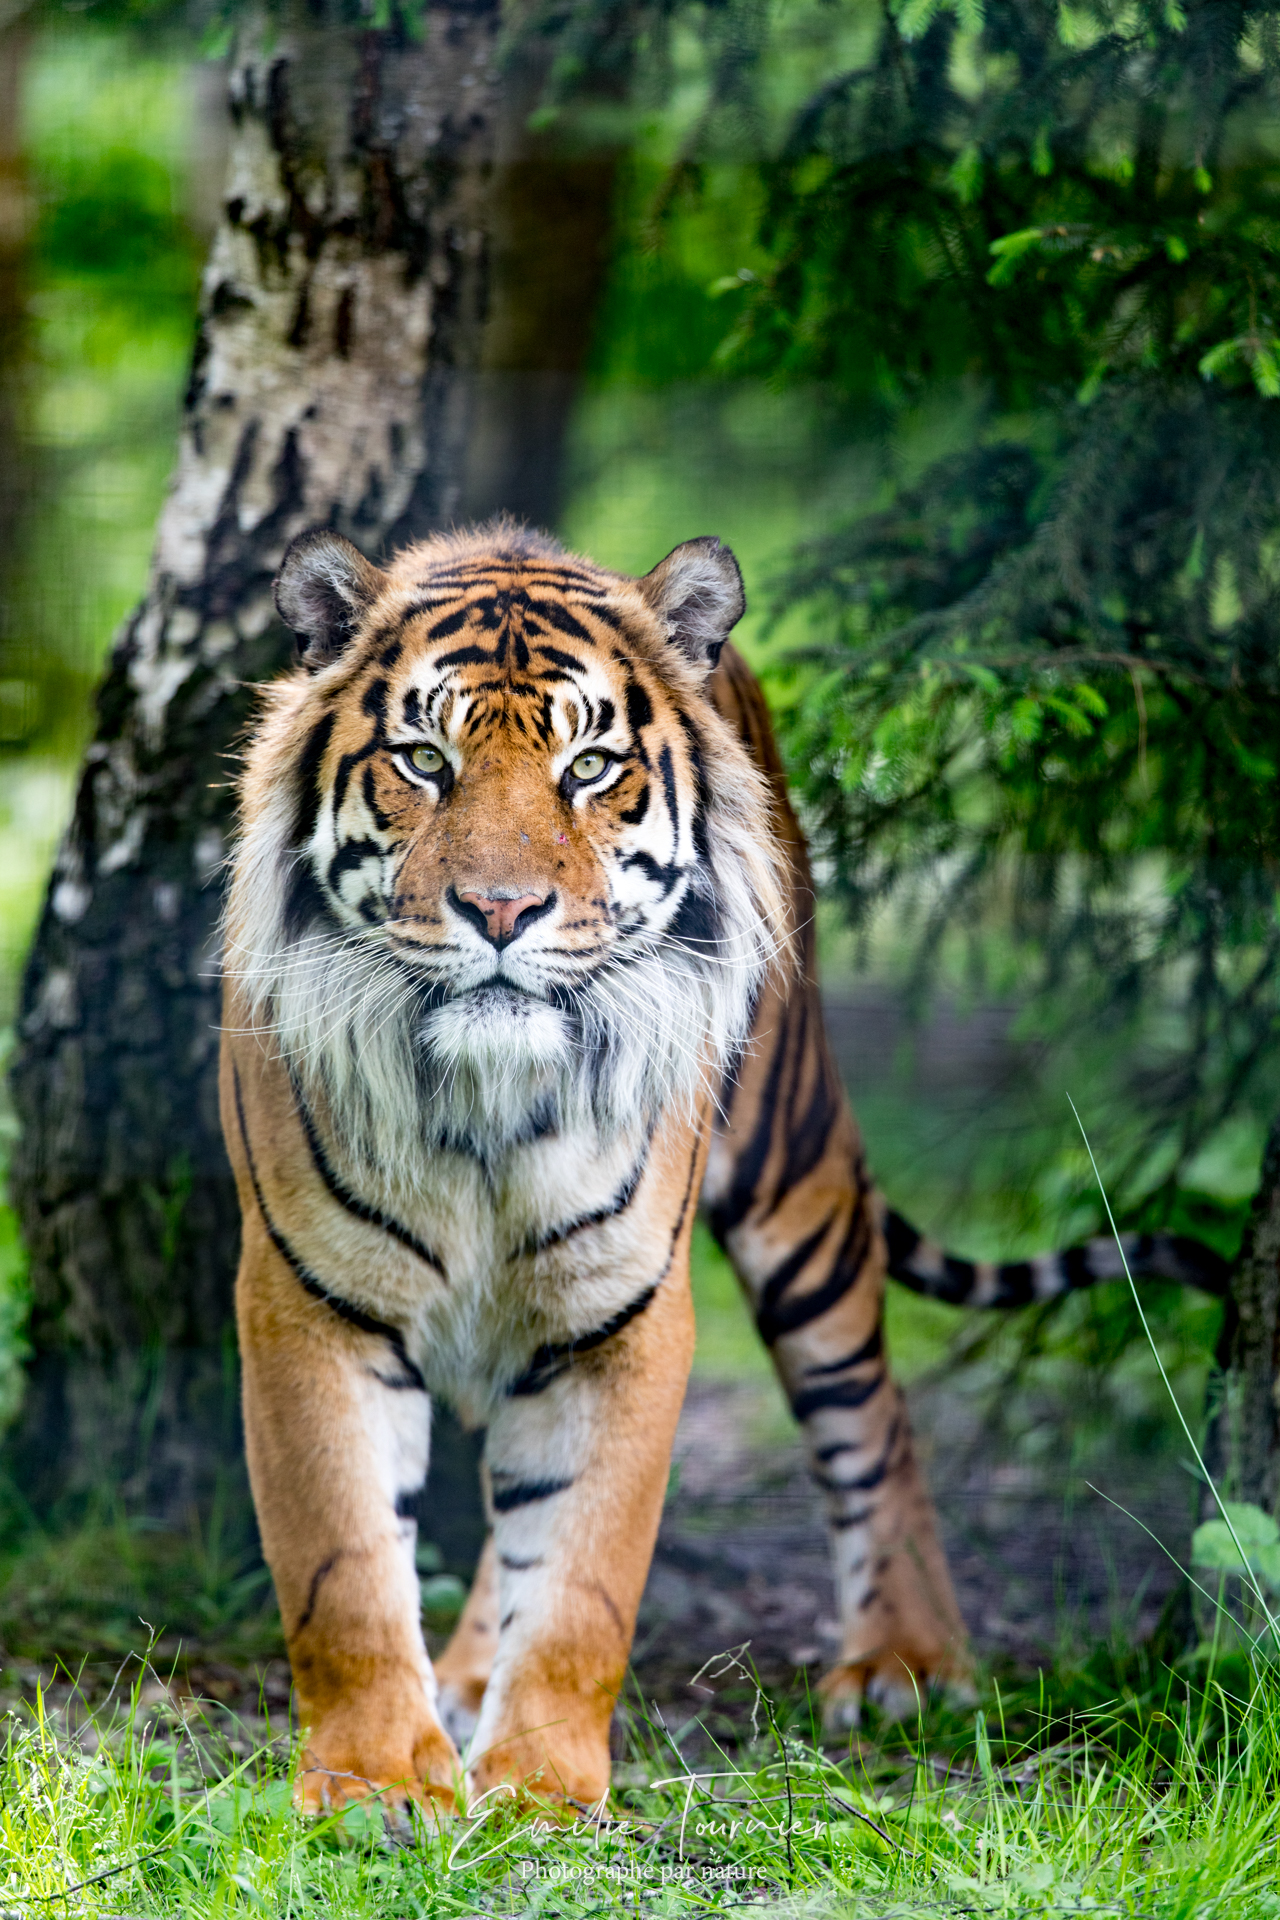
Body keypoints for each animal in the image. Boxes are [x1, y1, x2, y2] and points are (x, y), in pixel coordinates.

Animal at [224, 517, 1072, 1819]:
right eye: (422, 758)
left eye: (586, 768)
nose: (501, 910)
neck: (485, 1103)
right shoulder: (307, 1299)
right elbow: (345, 1572)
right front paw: (377, 1784)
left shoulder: (626, 1312)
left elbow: (584, 1582)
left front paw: (536, 1786)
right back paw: (464, 1680)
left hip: (795, 1178)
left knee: (873, 1414)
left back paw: (906, 1663)